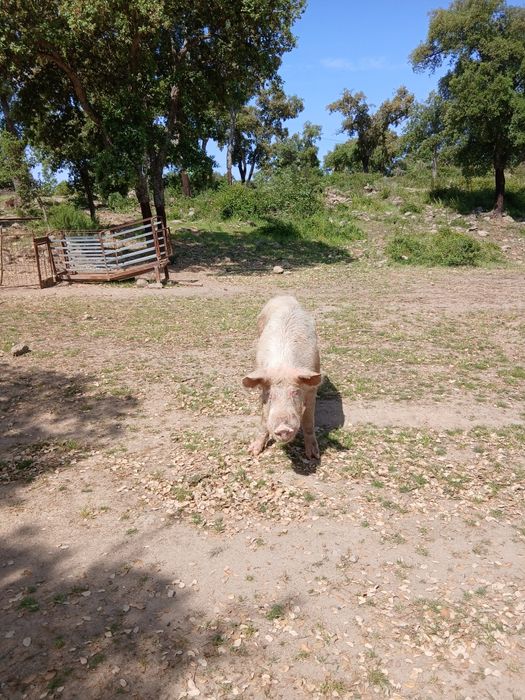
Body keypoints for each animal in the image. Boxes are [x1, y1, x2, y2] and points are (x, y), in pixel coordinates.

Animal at [243, 295, 322, 459]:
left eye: (295, 393)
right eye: (270, 395)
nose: (283, 428)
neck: (283, 367)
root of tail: (284, 296)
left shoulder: (312, 388)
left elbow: (308, 419)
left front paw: (313, 456)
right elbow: (263, 420)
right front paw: (252, 452)